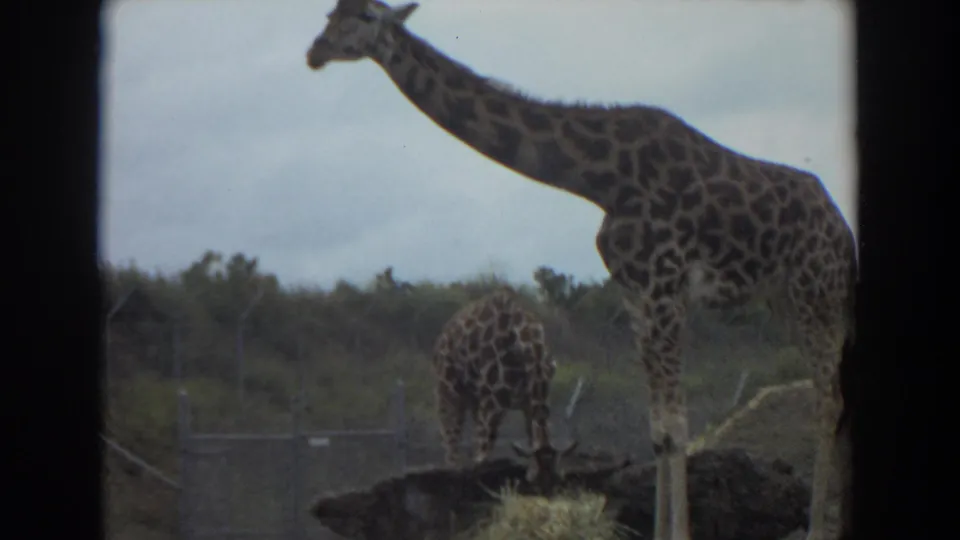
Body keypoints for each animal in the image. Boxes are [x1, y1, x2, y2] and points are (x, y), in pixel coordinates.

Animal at [431, 286, 578, 492]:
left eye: (556, 482)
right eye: (535, 485)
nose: (545, 494)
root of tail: (443, 335)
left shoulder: (529, 403)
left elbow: (532, 436)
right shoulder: (493, 400)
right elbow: (484, 452)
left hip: (475, 399)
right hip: (448, 388)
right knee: (450, 434)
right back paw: (453, 470)